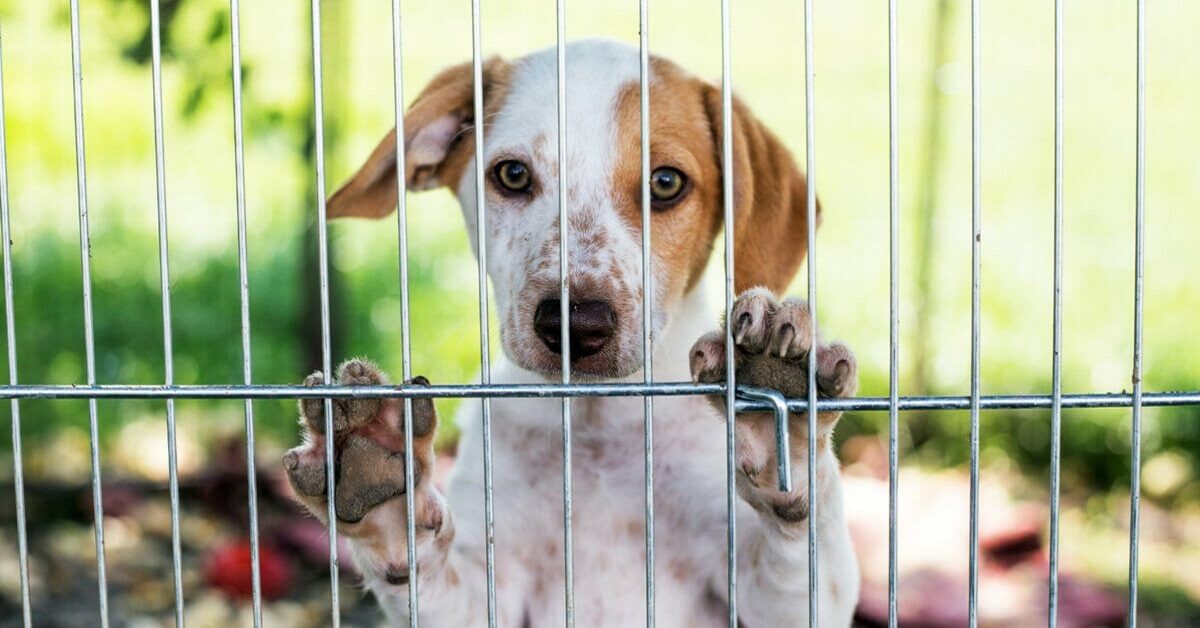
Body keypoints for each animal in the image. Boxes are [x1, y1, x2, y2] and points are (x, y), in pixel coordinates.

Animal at [282, 40, 864, 628]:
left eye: (666, 183)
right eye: (514, 174)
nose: (574, 324)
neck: (594, 420)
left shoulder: (769, 597)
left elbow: (802, 545)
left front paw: (777, 418)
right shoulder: (486, 592)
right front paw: (380, 485)